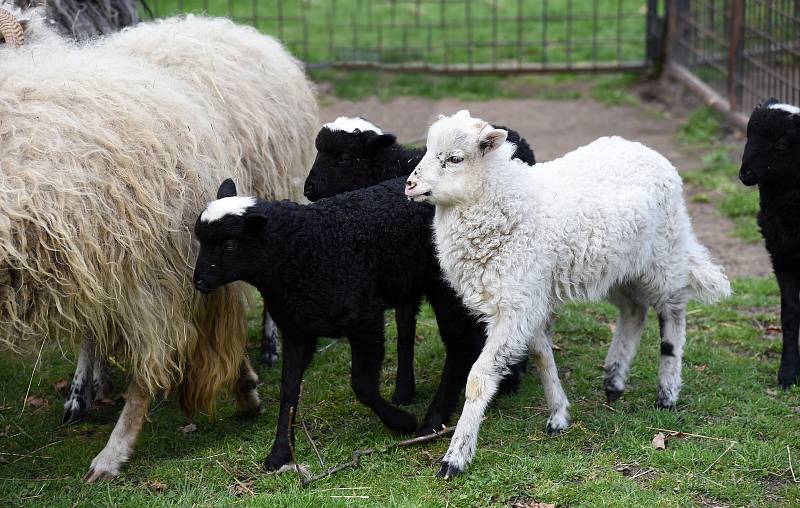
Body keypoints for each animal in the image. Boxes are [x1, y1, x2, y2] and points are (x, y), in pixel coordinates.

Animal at [191, 177, 520, 470]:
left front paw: (401, 422)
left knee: (460, 345)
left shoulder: (365, 320)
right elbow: (289, 390)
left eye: (230, 244)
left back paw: (432, 420)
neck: (304, 249)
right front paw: (280, 453)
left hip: (446, 288)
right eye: (200, 240)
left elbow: (361, 385)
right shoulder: (297, 329)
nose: (199, 282)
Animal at [406, 109, 732, 478]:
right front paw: (559, 415)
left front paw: (456, 457)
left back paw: (667, 392)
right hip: (617, 270)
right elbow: (542, 356)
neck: (507, 201)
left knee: (673, 312)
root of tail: (649, 152)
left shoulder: (516, 306)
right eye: (427, 149)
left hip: (665, 254)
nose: (410, 185)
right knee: (634, 310)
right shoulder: (530, 300)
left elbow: (478, 380)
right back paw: (614, 380)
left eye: (455, 159)